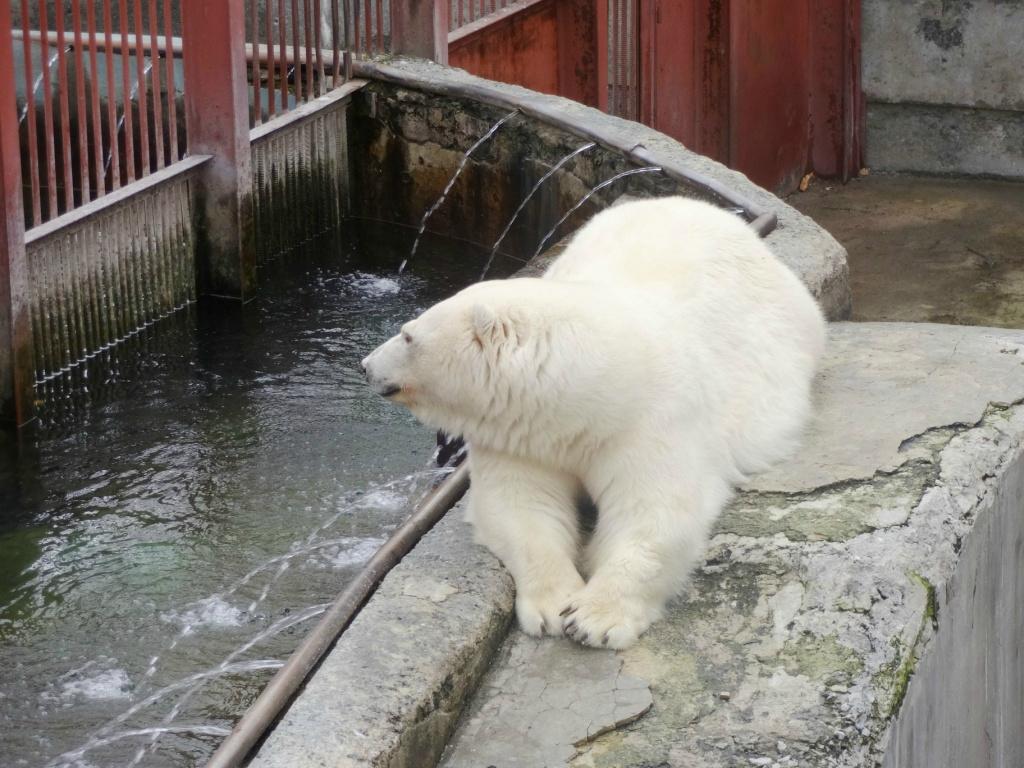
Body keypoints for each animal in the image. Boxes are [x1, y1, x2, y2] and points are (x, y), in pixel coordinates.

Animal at [360, 198, 823, 651]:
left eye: (407, 335)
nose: (366, 365)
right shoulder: (519, 433)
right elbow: (519, 506)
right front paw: (554, 604)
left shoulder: (654, 420)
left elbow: (656, 510)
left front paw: (593, 619)